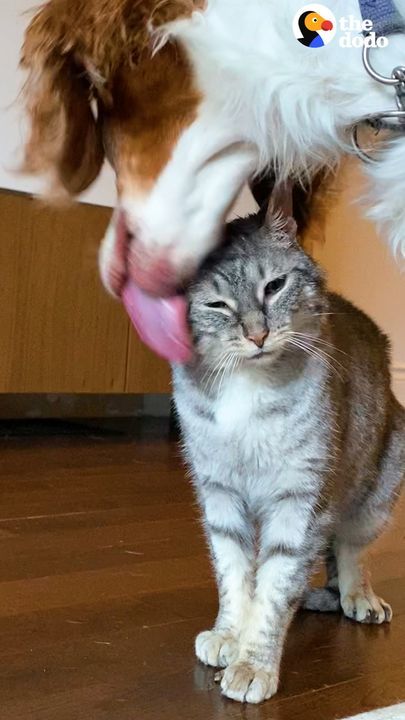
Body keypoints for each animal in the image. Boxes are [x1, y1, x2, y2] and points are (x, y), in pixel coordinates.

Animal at [171, 202, 404, 704]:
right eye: (217, 305)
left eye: (274, 286)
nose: (257, 335)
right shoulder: (219, 494)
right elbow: (234, 574)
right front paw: (228, 634)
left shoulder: (301, 499)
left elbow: (276, 587)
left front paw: (253, 664)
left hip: (375, 494)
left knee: (350, 551)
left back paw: (358, 596)